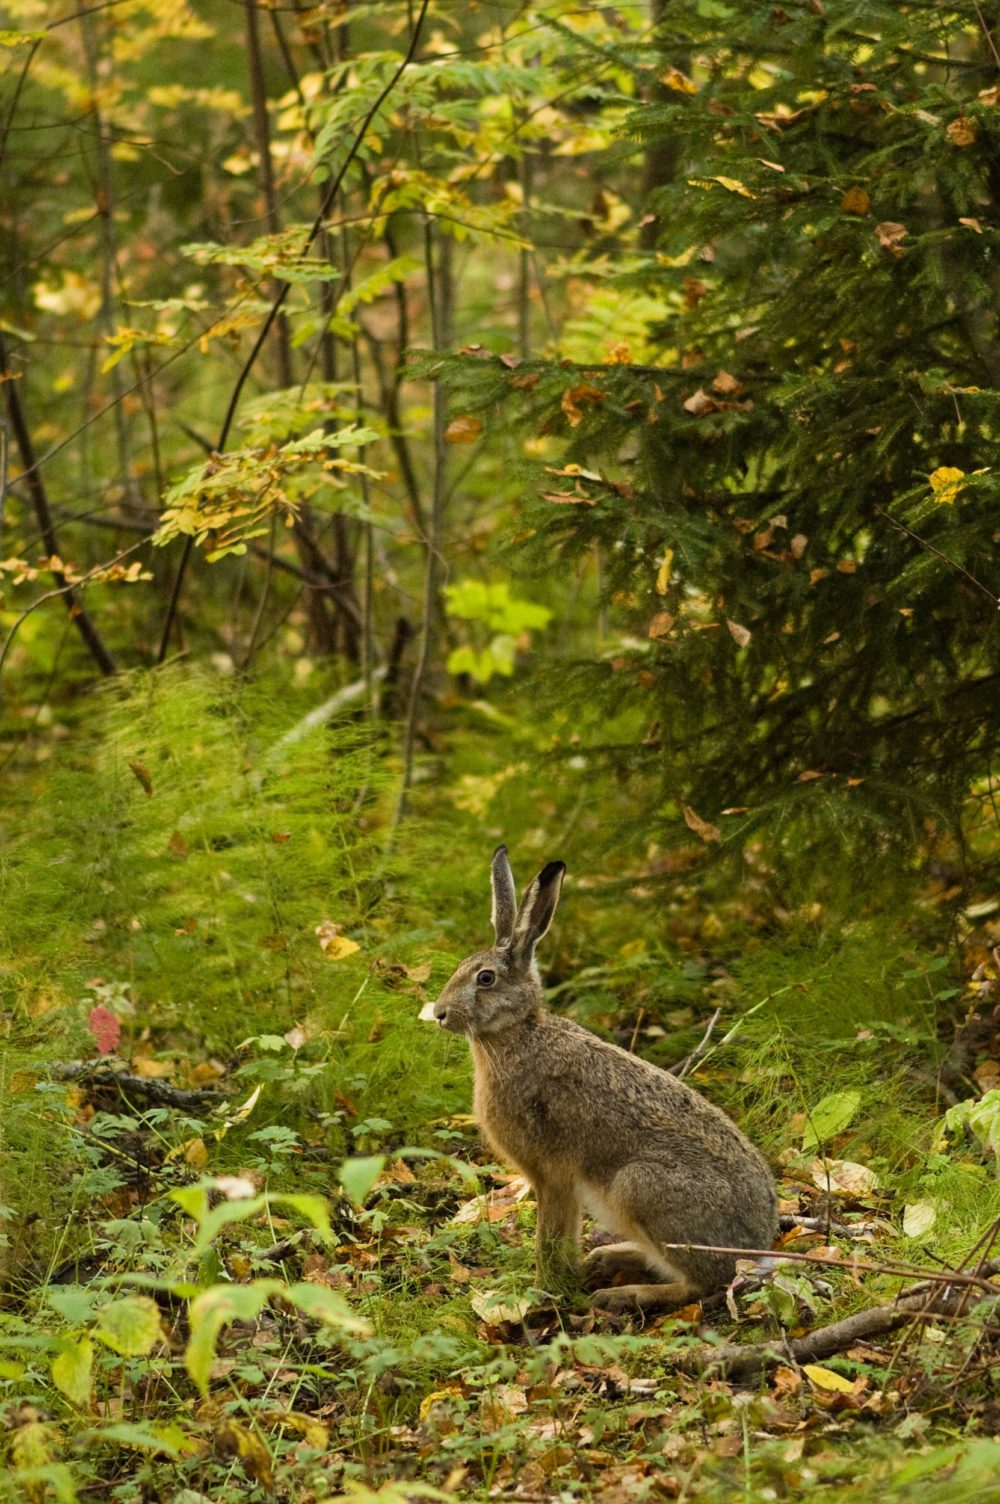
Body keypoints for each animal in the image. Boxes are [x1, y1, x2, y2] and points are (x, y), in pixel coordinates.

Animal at [421, 846, 778, 1312]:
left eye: (485, 978)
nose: (440, 1014)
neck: (520, 1033)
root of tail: (757, 1245)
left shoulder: (550, 1173)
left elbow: (549, 1237)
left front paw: (546, 1290)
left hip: (639, 1189)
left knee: (703, 1284)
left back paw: (623, 1293)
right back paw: (606, 1258)